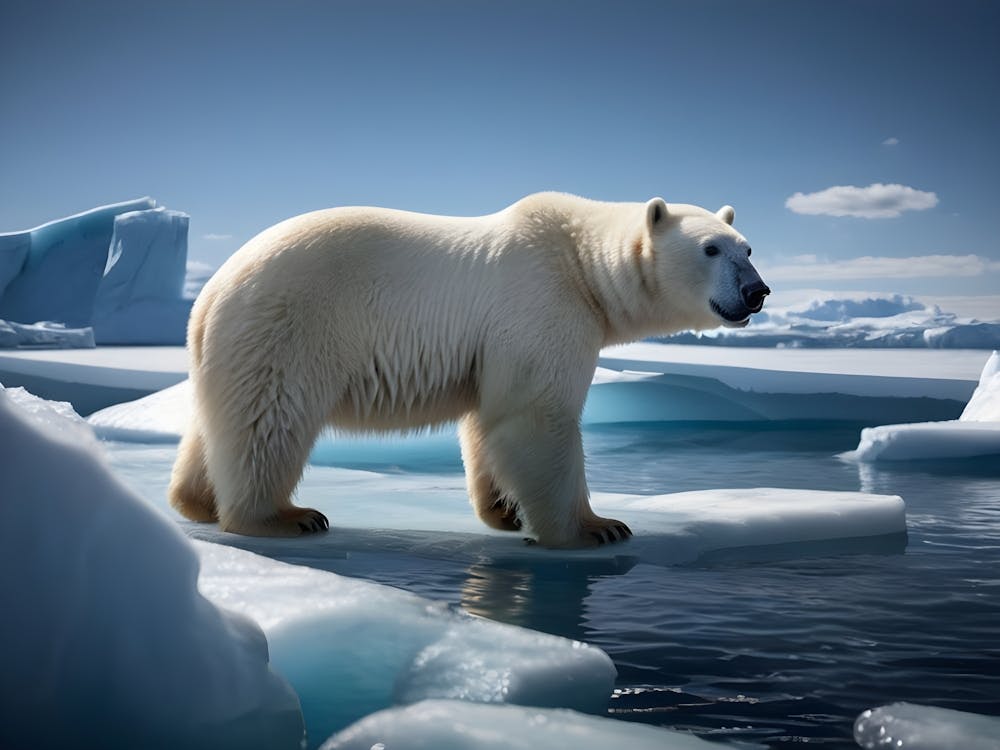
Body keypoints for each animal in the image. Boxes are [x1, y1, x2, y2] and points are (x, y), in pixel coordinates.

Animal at [168, 192, 769, 548]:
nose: (756, 291)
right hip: (290, 323)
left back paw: (196, 501)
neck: (580, 263)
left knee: (220, 420)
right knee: (271, 421)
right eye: (711, 249)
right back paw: (282, 516)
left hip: (235, 346)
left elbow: (489, 421)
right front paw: (596, 527)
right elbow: (537, 417)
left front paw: (504, 511)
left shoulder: (498, 343)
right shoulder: (541, 304)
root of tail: (210, 293)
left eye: (747, 248)